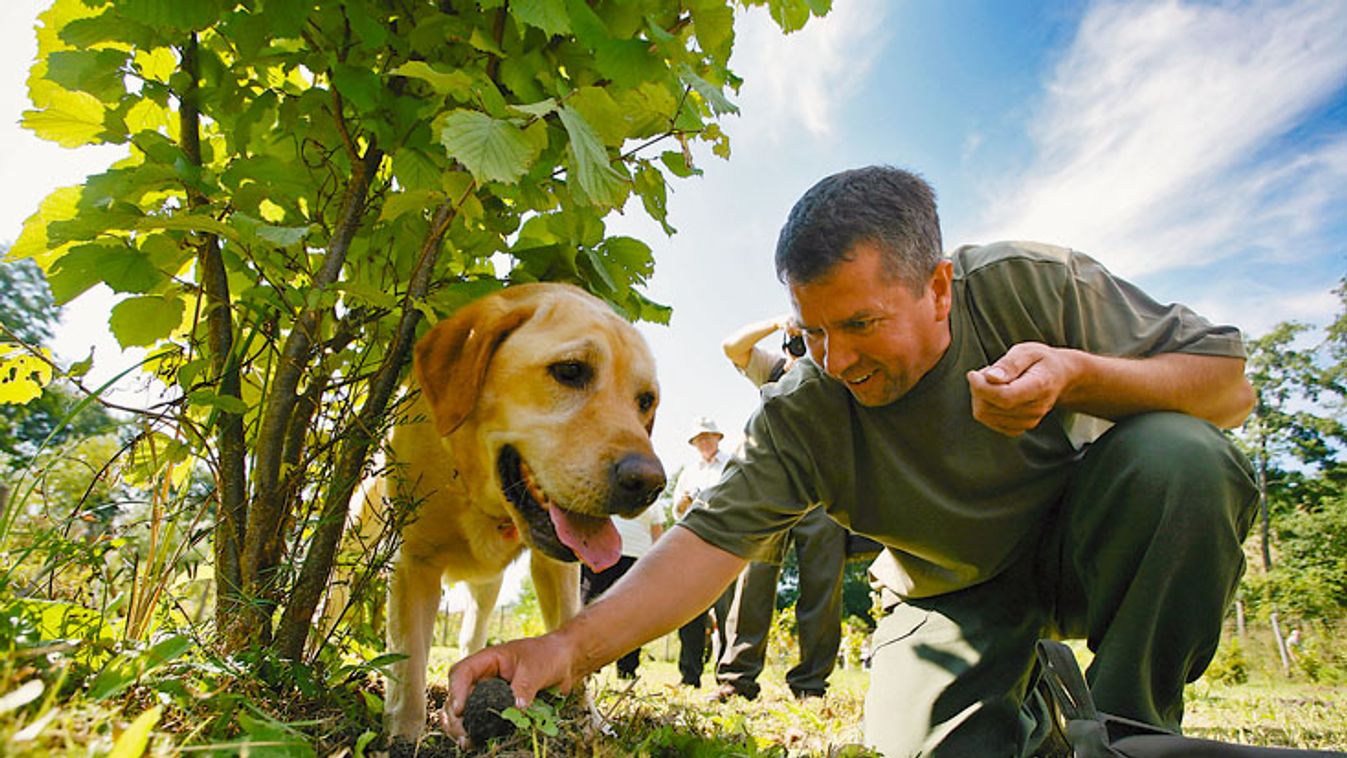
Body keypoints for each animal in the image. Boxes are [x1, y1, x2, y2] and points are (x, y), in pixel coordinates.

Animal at [366, 282, 665, 737]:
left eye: (645, 400)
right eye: (570, 371)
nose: (649, 484)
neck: (474, 487)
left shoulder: (557, 567)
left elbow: (567, 633)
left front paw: (587, 719)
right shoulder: (413, 565)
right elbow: (409, 667)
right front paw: (405, 735)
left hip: (487, 588)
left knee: (471, 634)